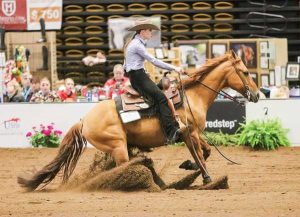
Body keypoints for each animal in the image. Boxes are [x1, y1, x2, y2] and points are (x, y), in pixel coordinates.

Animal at [17, 50, 258, 191]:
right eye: (246, 72)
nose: (256, 95)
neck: (193, 96)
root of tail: (84, 120)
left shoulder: (195, 134)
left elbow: (205, 153)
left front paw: (188, 166)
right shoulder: (189, 134)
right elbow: (201, 157)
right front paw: (208, 180)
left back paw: (158, 182)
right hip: (117, 147)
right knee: (122, 169)